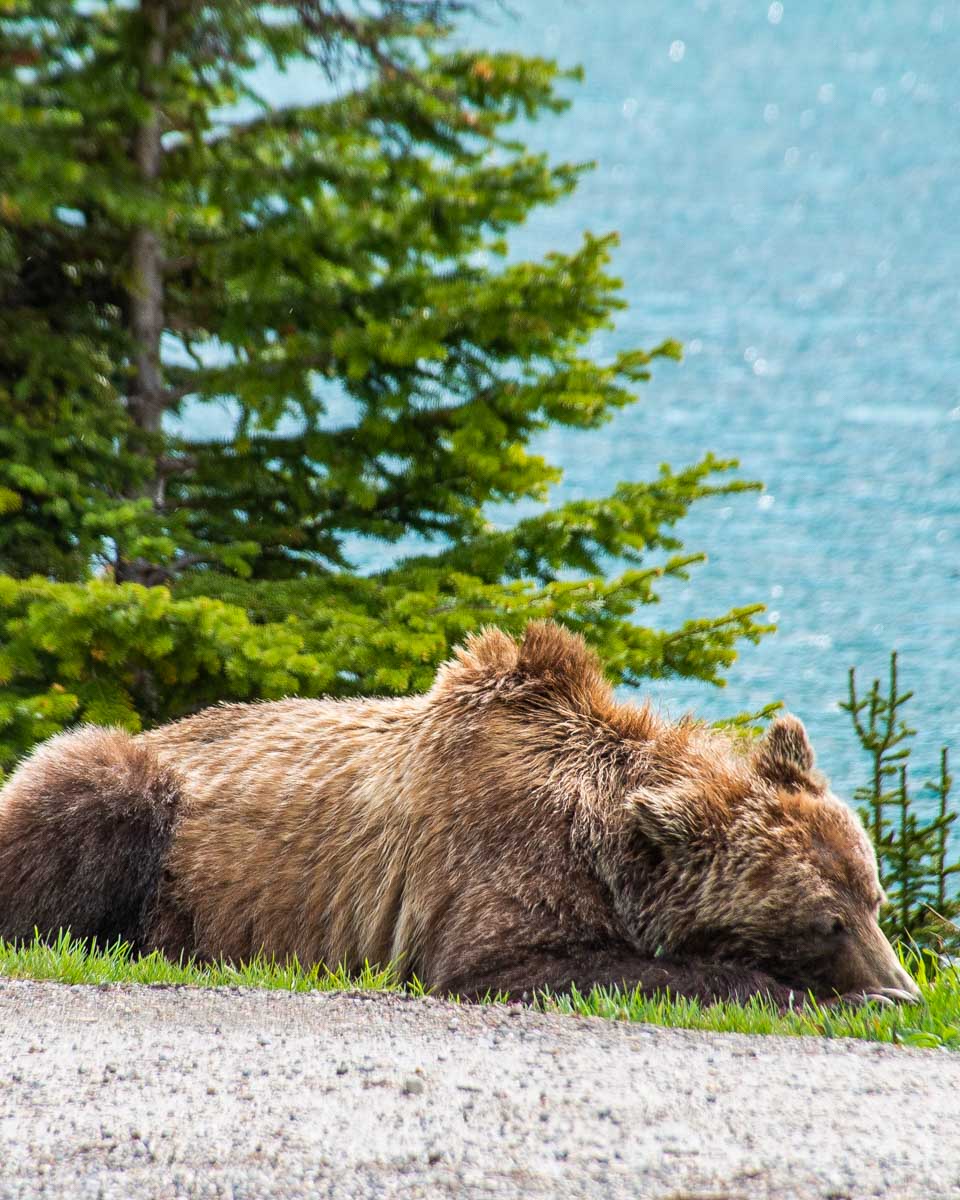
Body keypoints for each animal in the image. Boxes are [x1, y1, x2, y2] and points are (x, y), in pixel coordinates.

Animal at [0, 621, 920, 1008]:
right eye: (826, 920)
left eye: (873, 899)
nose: (906, 990)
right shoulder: (495, 867)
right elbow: (514, 965)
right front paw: (828, 998)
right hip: (140, 801)